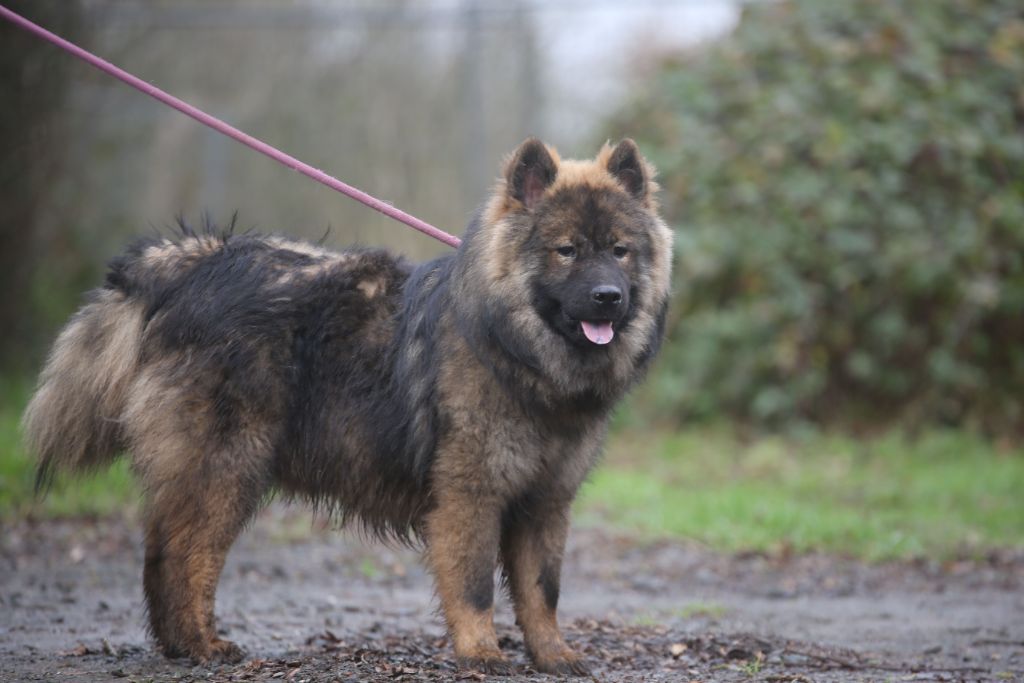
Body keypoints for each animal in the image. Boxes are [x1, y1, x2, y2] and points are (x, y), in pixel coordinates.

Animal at [22, 137, 671, 671]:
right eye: (567, 251)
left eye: (619, 250)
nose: (608, 297)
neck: (517, 352)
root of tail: (192, 264)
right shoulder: (471, 493)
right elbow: (474, 585)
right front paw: (482, 652)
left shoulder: (545, 502)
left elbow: (543, 591)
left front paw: (553, 655)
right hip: (228, 466)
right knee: (187, 556)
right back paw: (204, 645)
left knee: (162, 551)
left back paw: (180, 645)